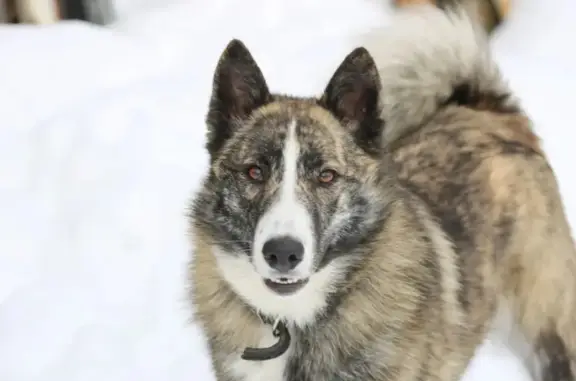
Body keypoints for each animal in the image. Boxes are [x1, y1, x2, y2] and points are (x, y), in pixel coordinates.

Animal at [189, 3, 576, 380]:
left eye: (327, 176)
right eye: (254, 172)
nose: (283, 253)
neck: (294, 322)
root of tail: (487, 111)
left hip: (549, 332)